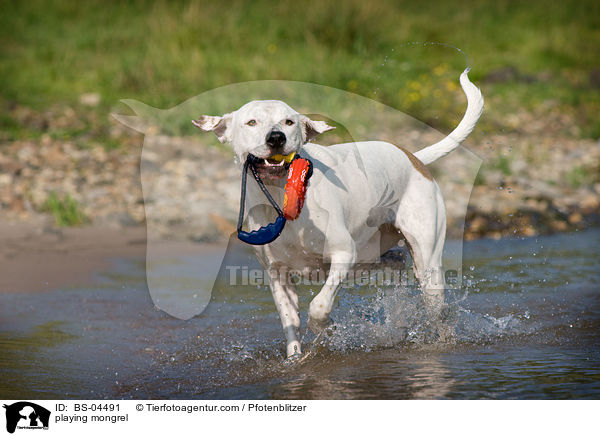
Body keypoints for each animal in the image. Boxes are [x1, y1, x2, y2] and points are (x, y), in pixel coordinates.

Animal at [195, 69, 486, 358]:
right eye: (251, 122)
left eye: (288, 122)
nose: (276, 137)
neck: (280, 195)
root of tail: (414, 158)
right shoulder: (277, 274)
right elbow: (290, 321)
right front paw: (295, 357)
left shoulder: (343, 253)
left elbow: (318, 306)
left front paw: (328, 329)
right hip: (367, 256)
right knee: (396, 259)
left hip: (425, 261)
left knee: (435, 304)